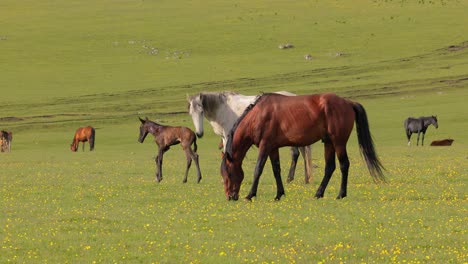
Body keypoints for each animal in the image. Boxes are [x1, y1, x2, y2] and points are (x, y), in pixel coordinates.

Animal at [221, 93, 386, 200]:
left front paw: (250, 195)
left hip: (338, 142)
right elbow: (276, 170)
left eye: (228, 173)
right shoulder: (273, 148)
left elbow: (258, 169)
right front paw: (279, 194)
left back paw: (341, 194)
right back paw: (319, 193)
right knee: (330, 167)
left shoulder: (265, 146)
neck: (259, 115)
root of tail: (348, 103)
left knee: (344, 164)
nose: (230, 196)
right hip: (328, 143)